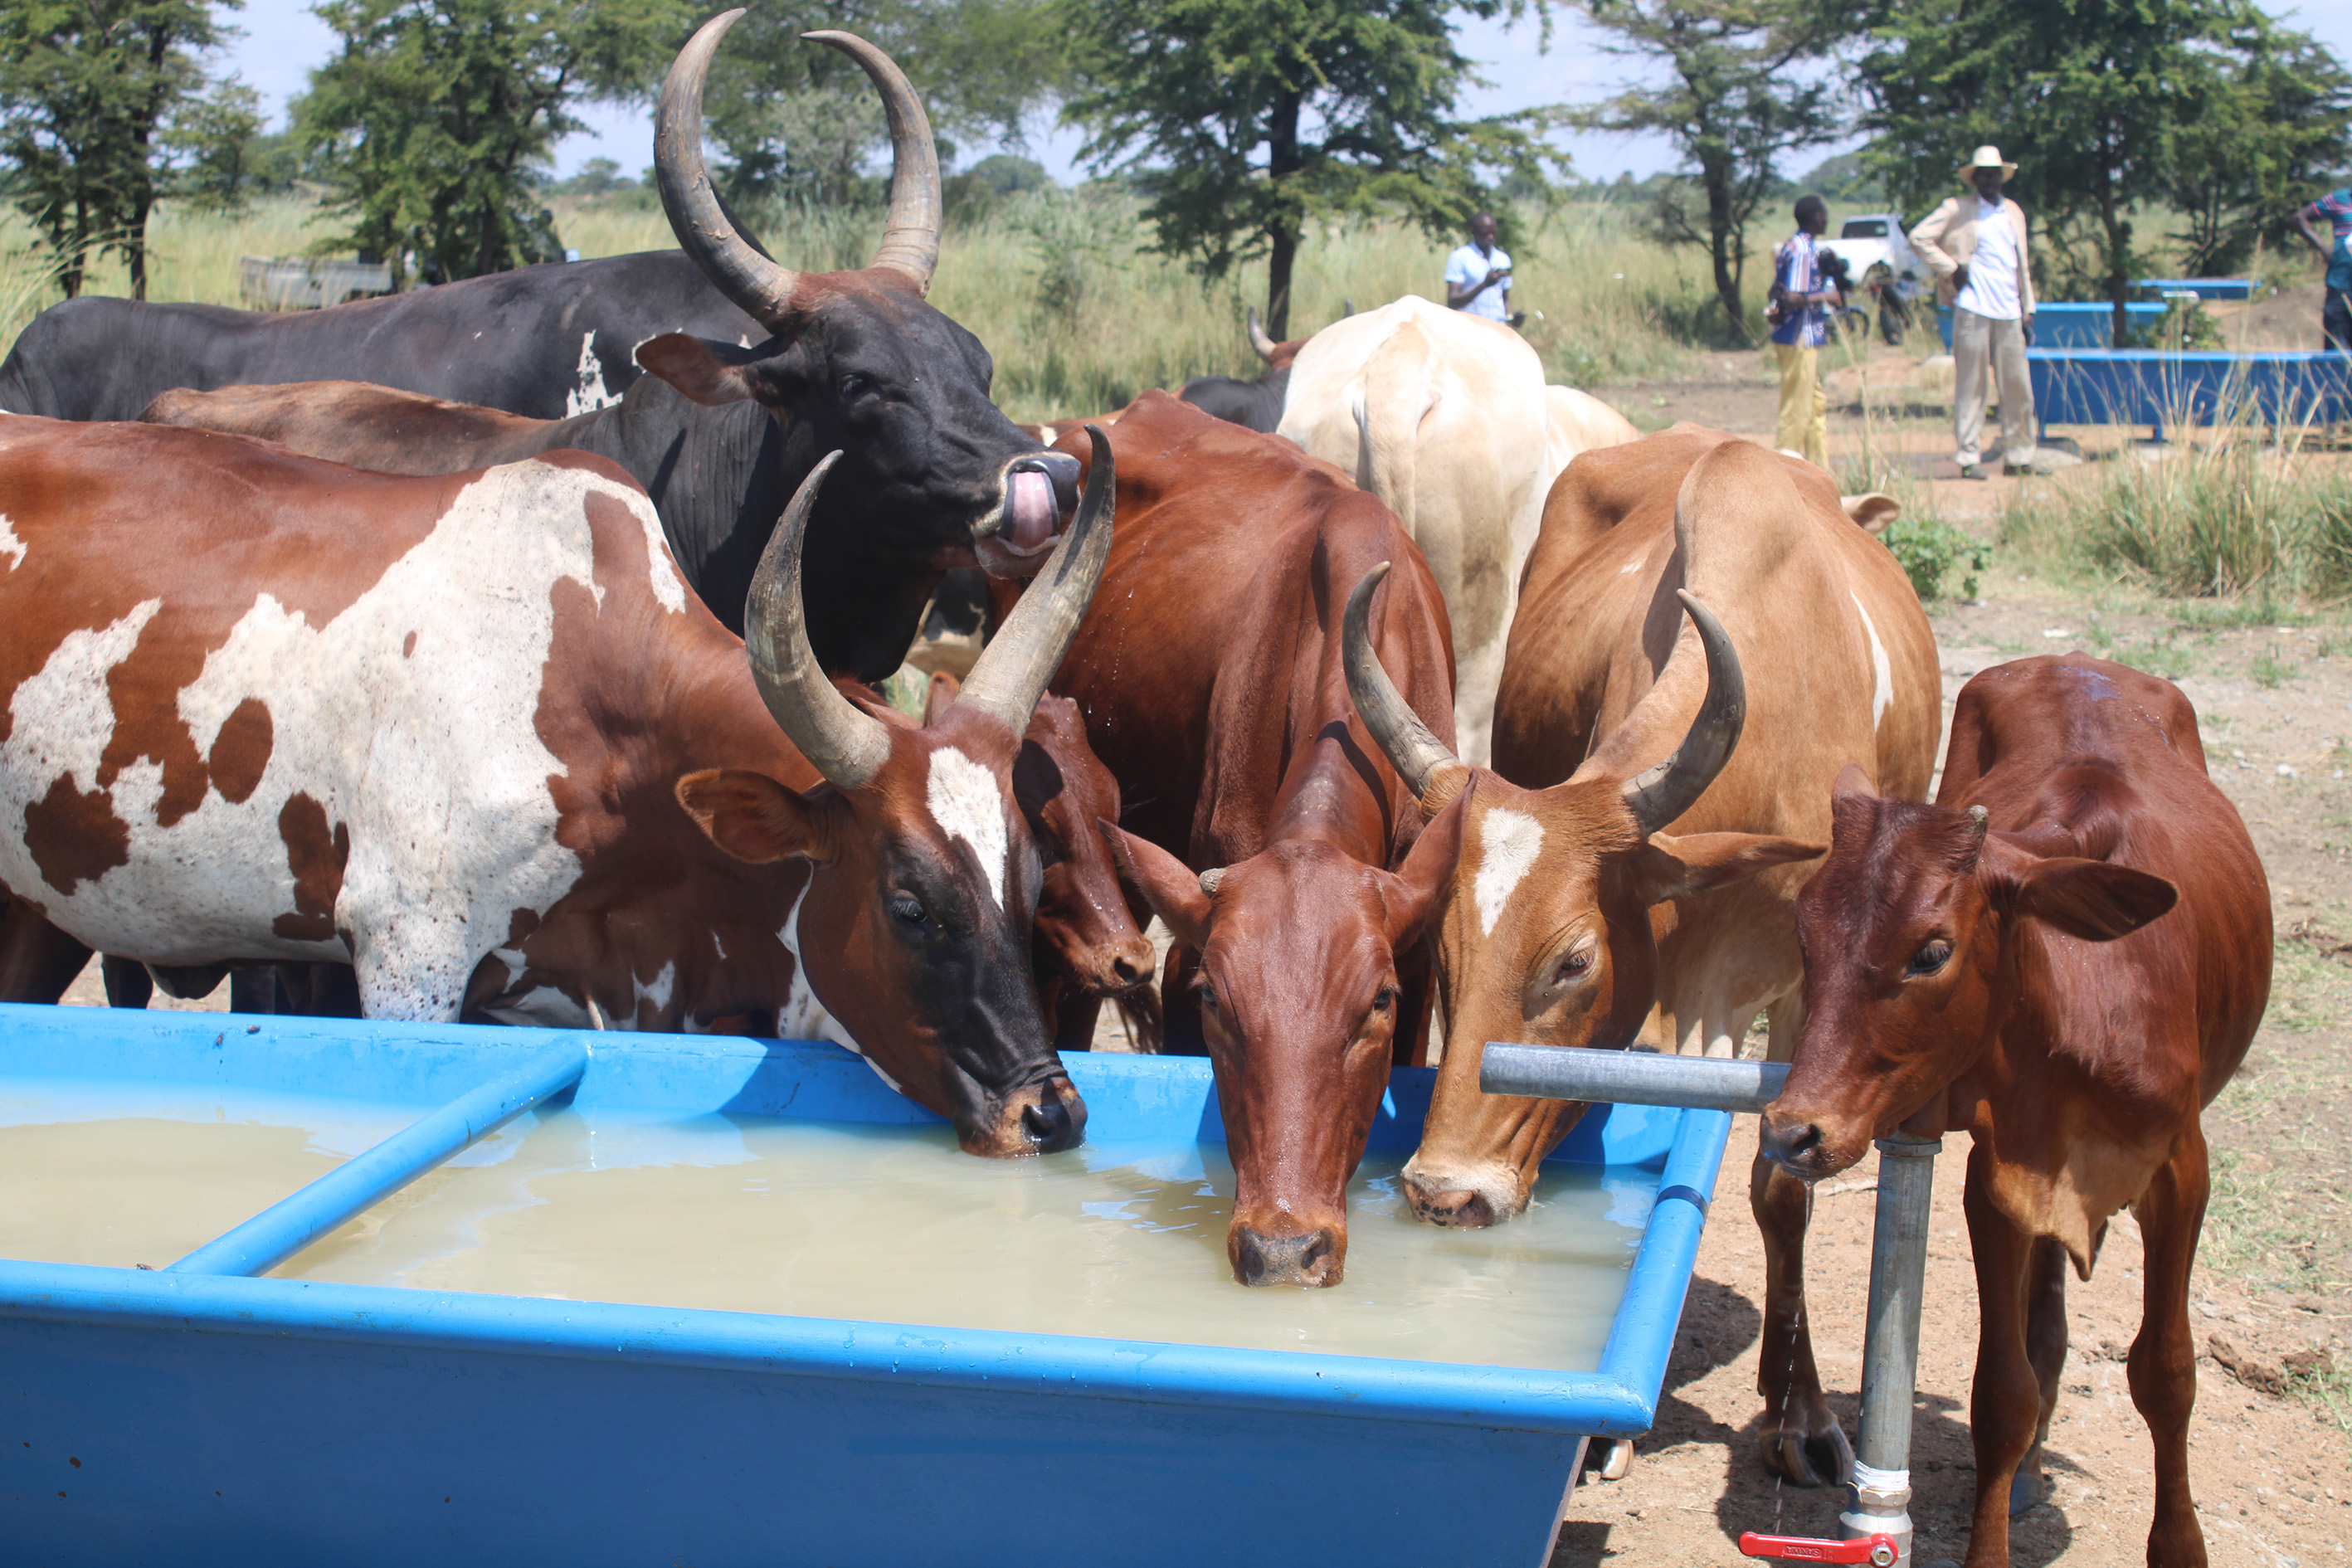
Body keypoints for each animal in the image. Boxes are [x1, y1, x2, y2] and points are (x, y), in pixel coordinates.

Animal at [1344, 426, 1941, 1483]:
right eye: (1443, 954)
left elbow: (1782, 1193)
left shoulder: (1809, 1003)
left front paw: (1801, 1415)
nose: (1440, 1193)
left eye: (1573, 962)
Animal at [1760, 655, 2271, 1568]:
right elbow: (2003, 1392)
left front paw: (2179, 1544)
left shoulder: (2182, 1172)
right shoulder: (1999, 1181)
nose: (1794, 1131)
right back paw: (2031, 1468)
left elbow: (2167, 1372)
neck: (2084, 997)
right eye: (1804, 936)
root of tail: (2080, 661)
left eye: (1932, 951)